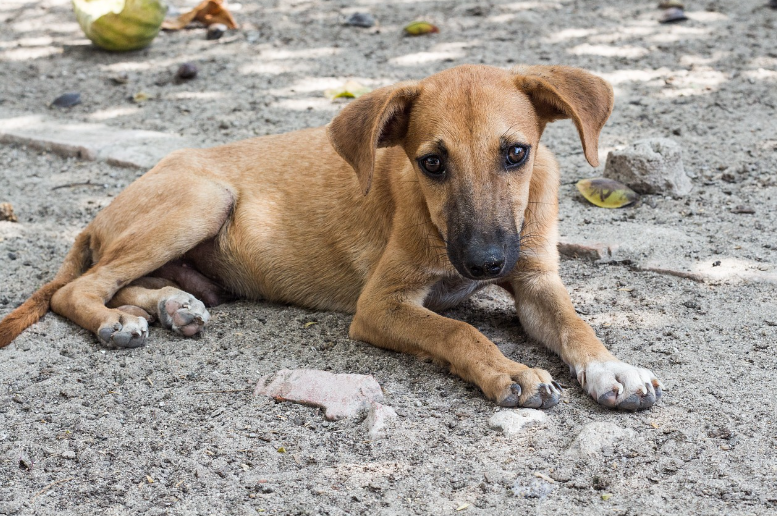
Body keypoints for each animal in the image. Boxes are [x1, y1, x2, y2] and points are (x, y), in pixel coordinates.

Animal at [0, 64, 664, 412]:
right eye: (431, 163)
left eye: (517, 153)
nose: (484, 263)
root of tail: (96, 217)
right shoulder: (381, 305)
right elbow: (459, 330)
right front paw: (511, 371)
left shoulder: (535, 281)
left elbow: (576, 325)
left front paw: (613, 368)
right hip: (202, 199)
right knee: (79, 289)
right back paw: (118, 321)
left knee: (130, 282)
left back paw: (174, 305)